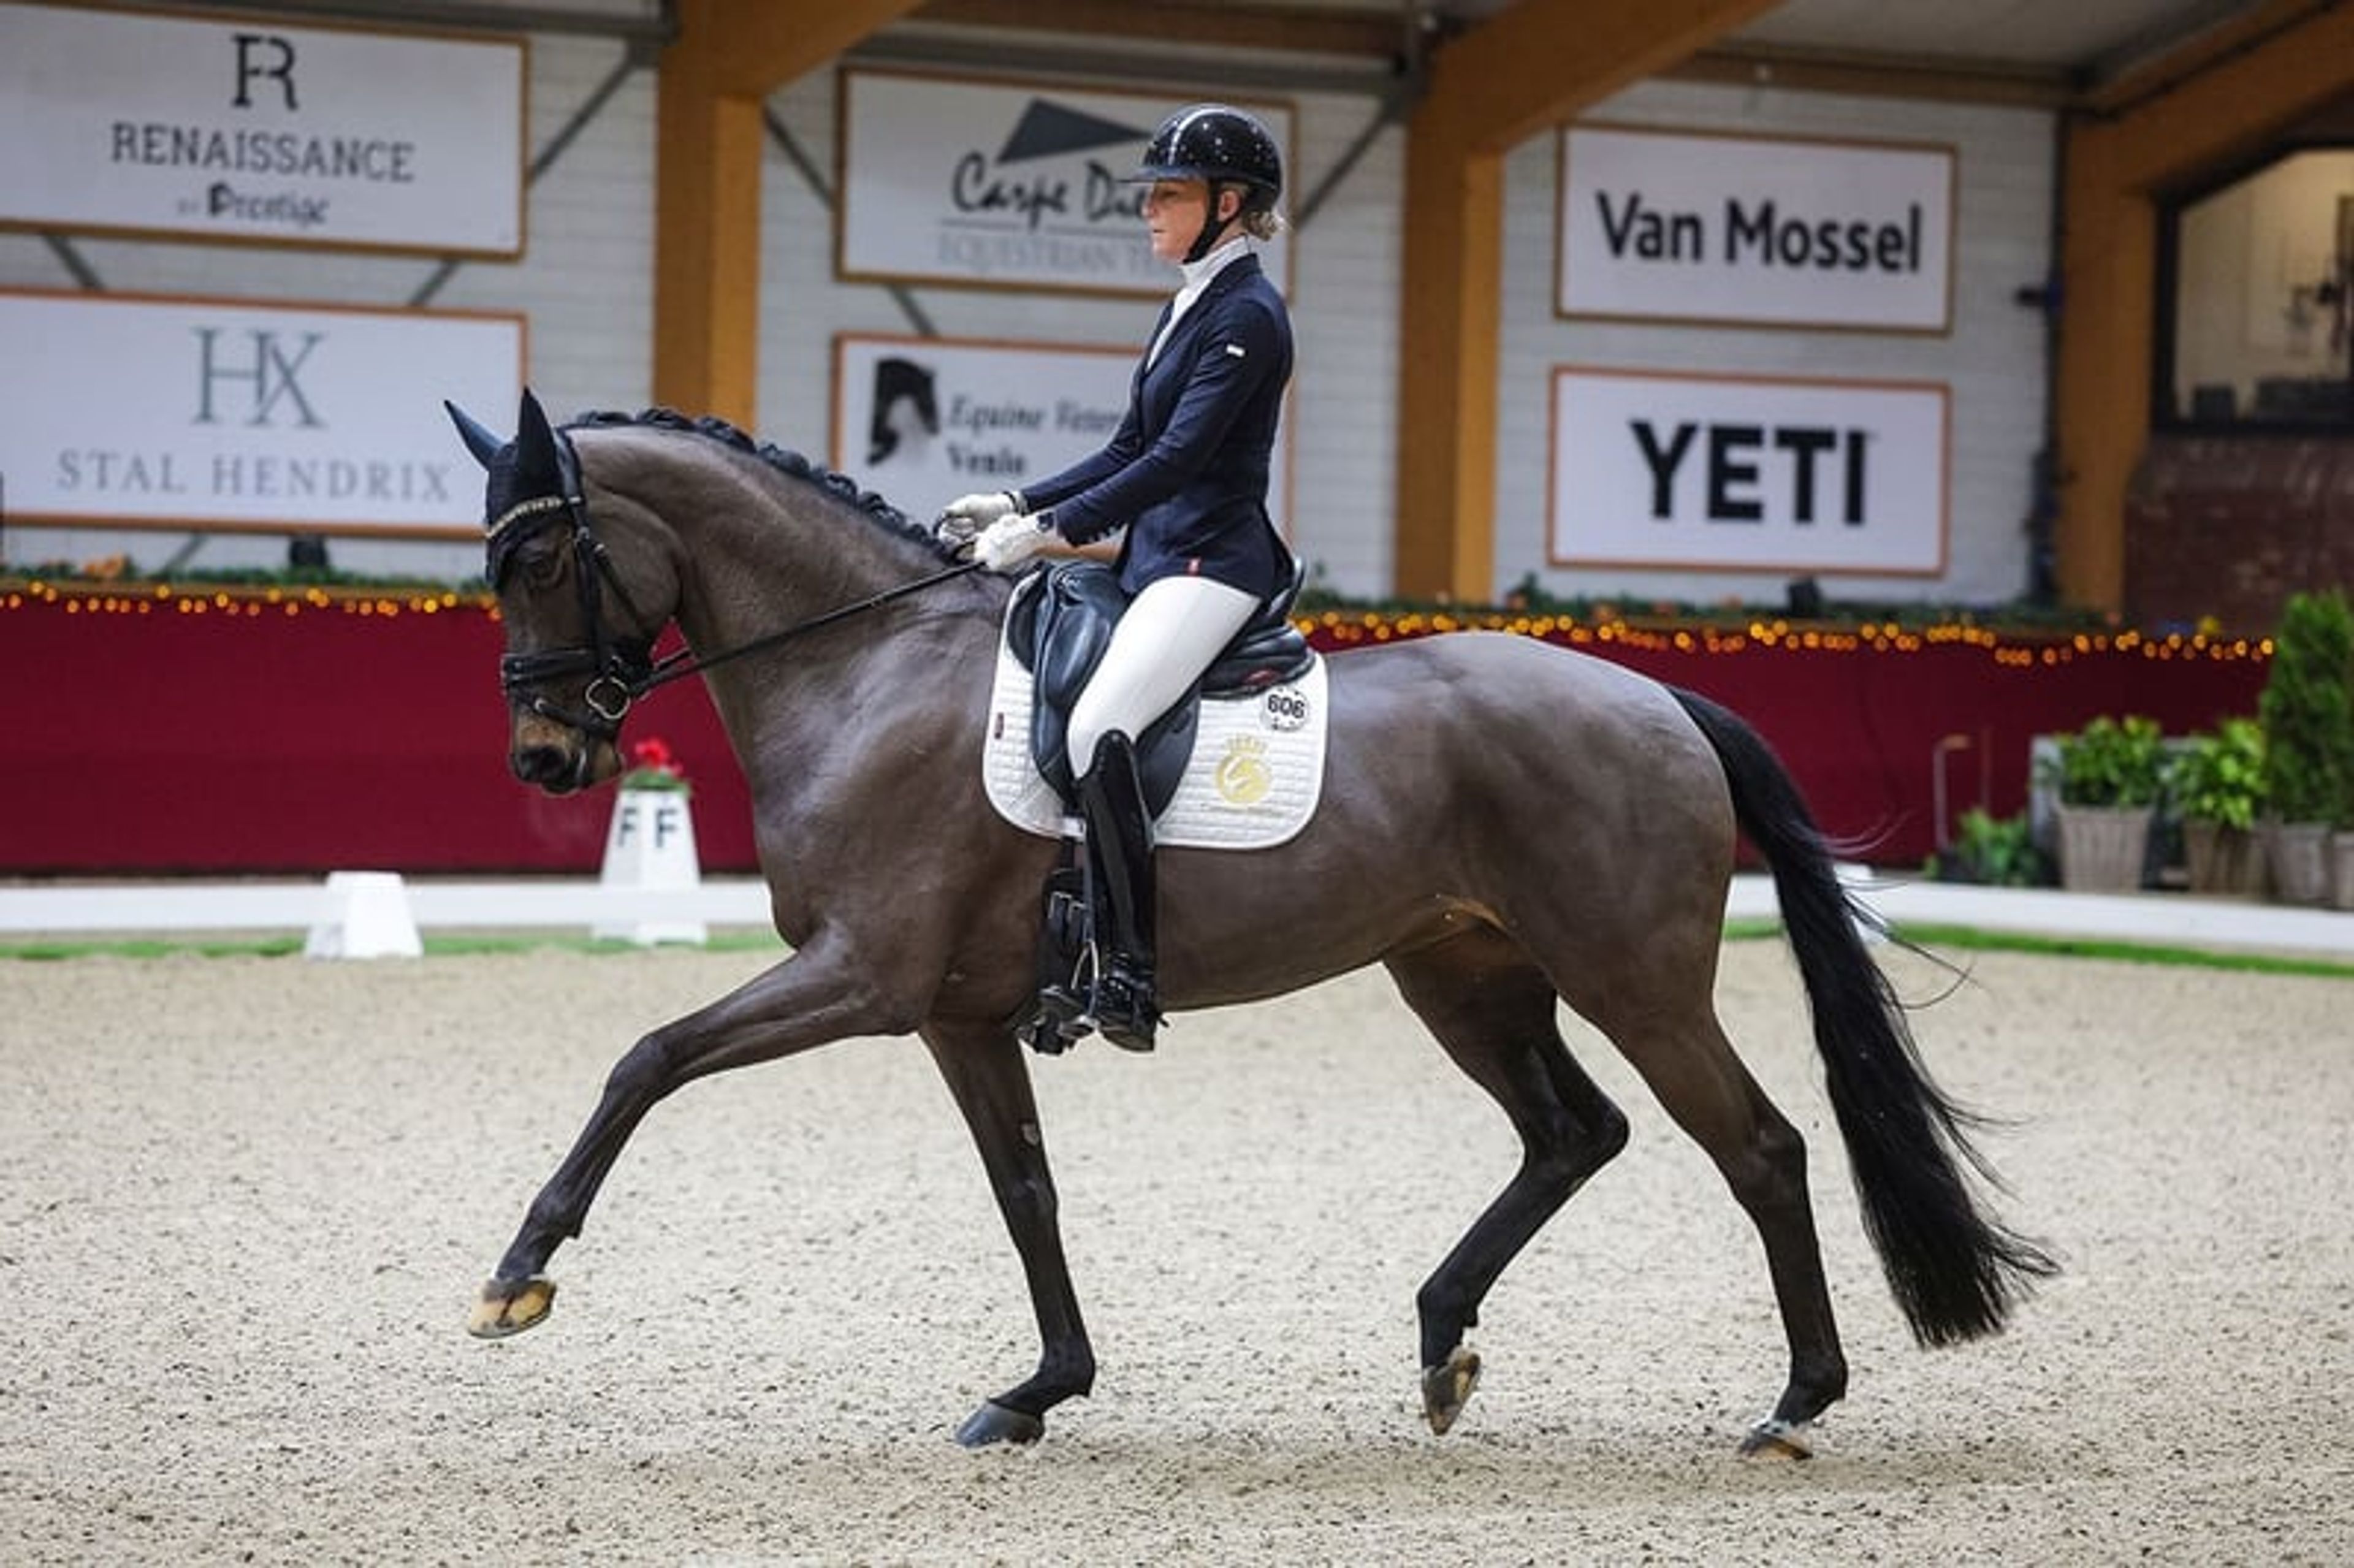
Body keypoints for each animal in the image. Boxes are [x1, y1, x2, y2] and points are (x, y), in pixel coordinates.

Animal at [446, 390, 2054, 1457]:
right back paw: (1441, 1343)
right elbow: (1024, 1191)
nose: (542, 759)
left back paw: (1793, 1402)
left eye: (542, 560)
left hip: (1634, 980)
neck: (866, 666)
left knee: (1761, 1148)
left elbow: (648, 1058)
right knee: (1571, 1132)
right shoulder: (954, 1010)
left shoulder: (861, 974)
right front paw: (1038, 1390)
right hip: (1463, 974)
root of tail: (1658, 691)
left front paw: (517, 1276)